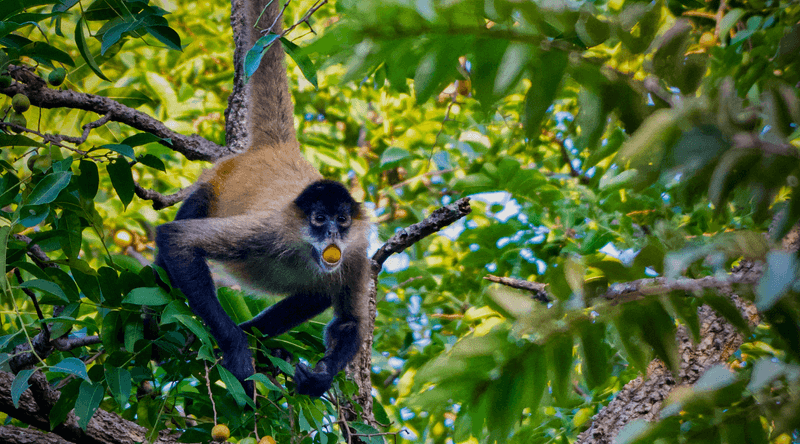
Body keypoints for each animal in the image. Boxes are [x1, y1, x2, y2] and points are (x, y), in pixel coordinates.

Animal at [155, 0, 370, 398]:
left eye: (342, 220)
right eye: (319, 219)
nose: (333, 233)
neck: (306, 250)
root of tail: (278, 149)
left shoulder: (357, 253)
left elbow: (349, 323)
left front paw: (320, 377)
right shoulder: (270, 229)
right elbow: (176, 241)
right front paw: (237, 348)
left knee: (318, 292)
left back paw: (261, 340)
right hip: (214, 183)